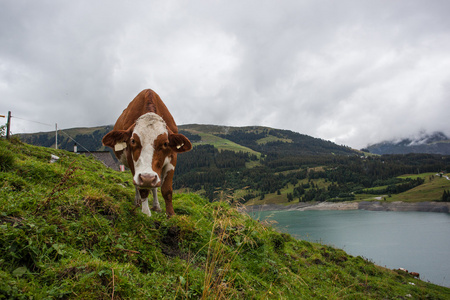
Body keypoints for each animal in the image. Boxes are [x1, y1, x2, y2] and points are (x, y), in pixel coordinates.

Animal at [102, 88, 192, 217]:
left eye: (165, 143)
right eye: (133, 141)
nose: (148, 178)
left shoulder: (172, 157)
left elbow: (166, 190)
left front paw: (171, 215)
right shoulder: (131, 160)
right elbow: (142, 188)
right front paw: (145, 213)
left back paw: (156, 206)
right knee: (136, 184)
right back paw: (138, 202)